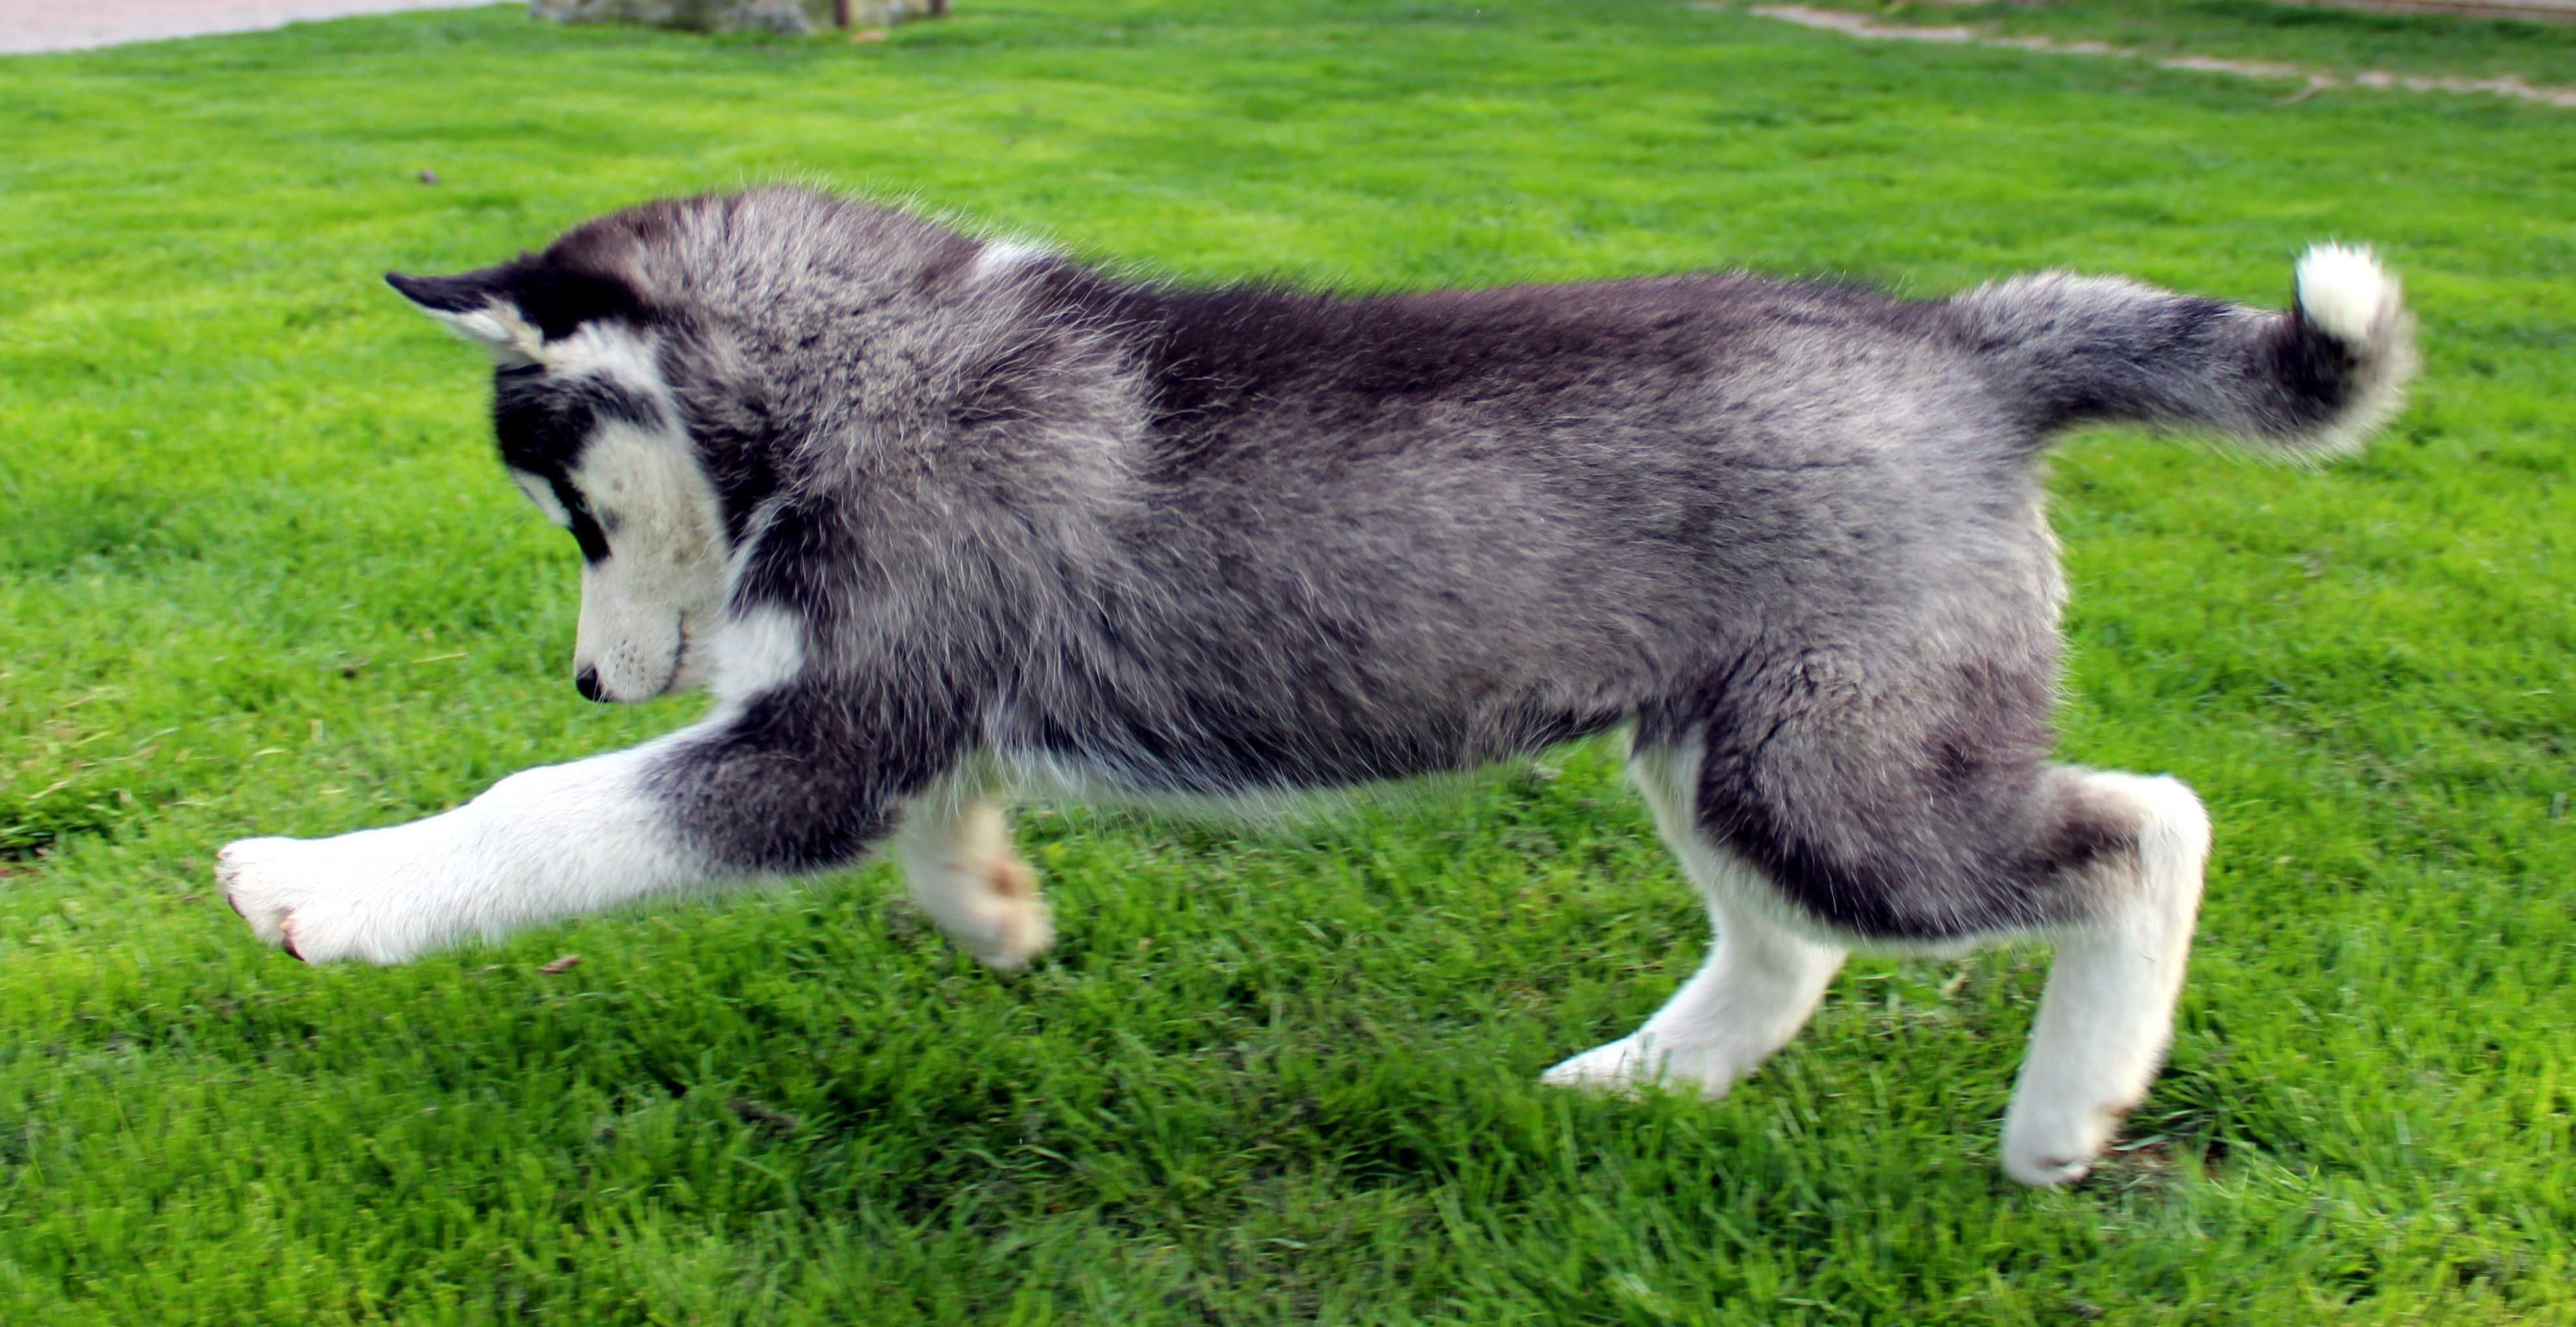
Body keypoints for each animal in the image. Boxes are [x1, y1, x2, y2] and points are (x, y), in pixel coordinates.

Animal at [221, 184, 2411, 1185]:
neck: (861, 366)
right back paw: (1648, 1076)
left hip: (1842, 768)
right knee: (1783, 947)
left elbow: (545, 823)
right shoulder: (891, 705)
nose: (593, 679)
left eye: (564, 511)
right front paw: (993, 910)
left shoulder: (814, 738)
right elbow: (933, 818)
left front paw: (320, 888)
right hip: (1726, 744)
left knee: (2143, 827)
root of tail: (1960, 343)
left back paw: (2067, 1111)